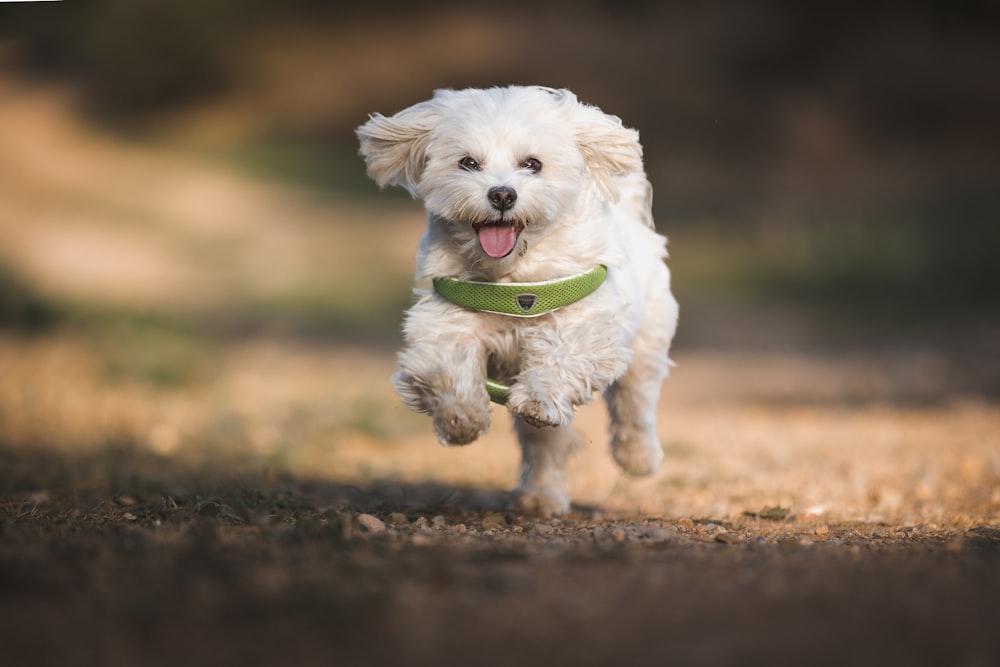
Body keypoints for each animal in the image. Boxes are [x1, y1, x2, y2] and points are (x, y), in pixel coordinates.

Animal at [356, 86, 676, 516]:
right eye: (468, 162)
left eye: (532, 164)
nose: (503, 194)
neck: (512, 278)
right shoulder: (445, 321)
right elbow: (447, 366)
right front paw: (462, 417)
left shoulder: (587, 324)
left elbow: (562, 354)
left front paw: (539, 397)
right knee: (545, 445)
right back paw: (540, 496)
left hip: (648, 340)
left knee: (635, 401)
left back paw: (637, 457)